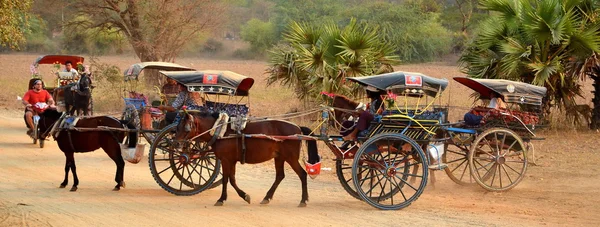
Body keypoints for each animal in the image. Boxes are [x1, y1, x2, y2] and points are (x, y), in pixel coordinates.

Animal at [175, 111, 318, 207]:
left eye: (186, 128)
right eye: (177, 127)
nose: (176, 143)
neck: (220, 130)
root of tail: (298, 128)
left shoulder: (226, 160)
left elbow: (227, 179)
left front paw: (222, 199)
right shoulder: (231, 160)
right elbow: (232, 179)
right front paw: (244, 196)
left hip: (290, 157)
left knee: (302, 174)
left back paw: (303, 200)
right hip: (279, 157)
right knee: (280, 176)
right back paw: (267, 197)